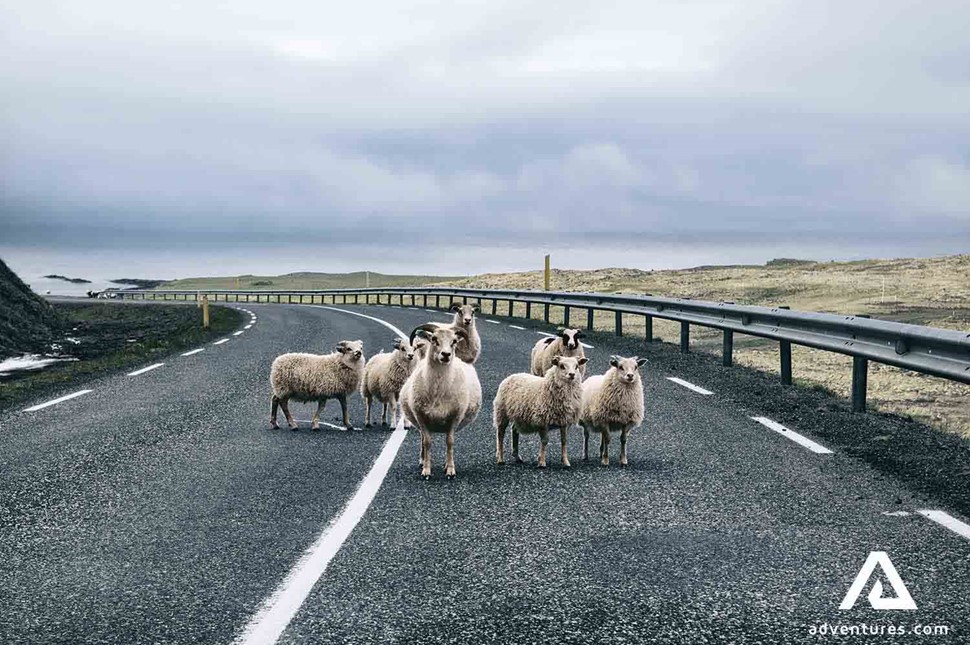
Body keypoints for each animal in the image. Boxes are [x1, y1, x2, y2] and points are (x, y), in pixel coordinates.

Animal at [398, 322, 480, 478]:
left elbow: (450, 442)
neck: (438, 389)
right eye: (434, 339)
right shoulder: (421, 416)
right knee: (422, 440)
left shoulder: (455, 416)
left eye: (454, 341)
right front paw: (426, 470)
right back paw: (422, 460)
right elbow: (427, 442)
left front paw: (450, 470)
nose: (446, 354)